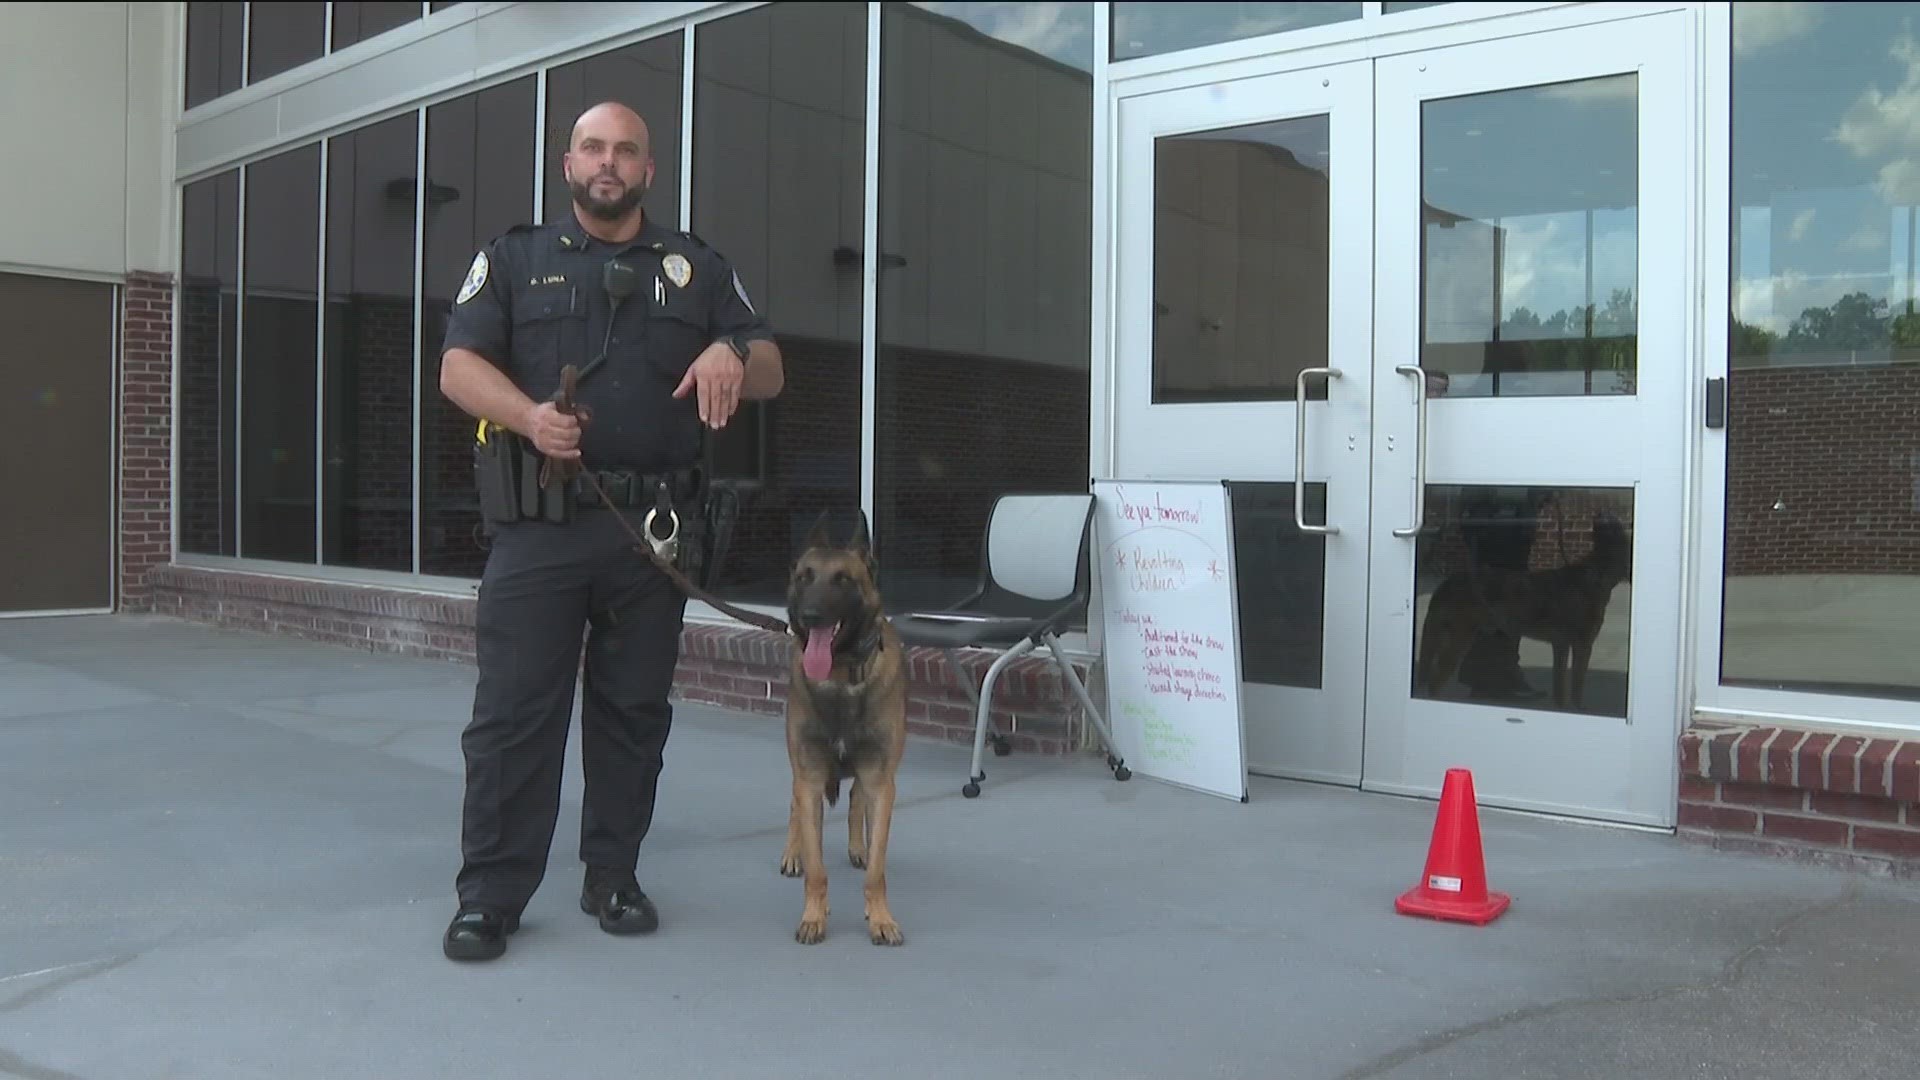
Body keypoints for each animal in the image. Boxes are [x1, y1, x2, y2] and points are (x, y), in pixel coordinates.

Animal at [775, 511, 902, 941]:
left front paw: (880, 917)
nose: (811, 616)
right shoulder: (810, 776)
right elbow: (817, 868)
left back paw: (858, 847)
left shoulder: (881, 781)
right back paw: (793, 852)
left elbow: (877, 868)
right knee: (795, 806)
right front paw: (814, 915)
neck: (841, 677)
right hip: (800, 771)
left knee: (856, 799)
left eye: (843, 580)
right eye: (804, 577)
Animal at [1420, 507, 1628, 711]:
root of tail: (1446, 583)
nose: (1601, 512)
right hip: (1459, 639)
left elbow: (1567, 688)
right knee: (1435, 680)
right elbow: (1571, 688)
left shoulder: (1569, 645)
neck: (1597, 572)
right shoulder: (1575, 644)